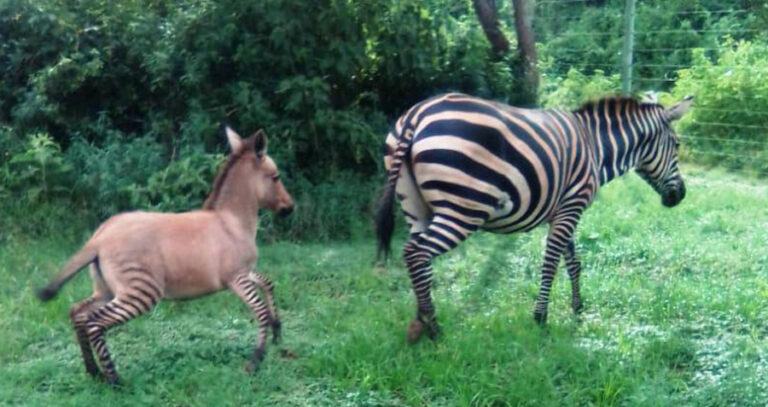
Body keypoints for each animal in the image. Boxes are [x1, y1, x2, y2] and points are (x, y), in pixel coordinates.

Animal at [375, 92, 693, 342]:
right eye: (677, 145)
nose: (680, 196)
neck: (596, 147)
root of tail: (417, 113)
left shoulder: (563, 210)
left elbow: (573, 262)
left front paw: (578, 309)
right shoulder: (571, 206)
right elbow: (551, 263)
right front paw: (541, 318)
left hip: (416, 208)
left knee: (418, 259)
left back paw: (420, 320)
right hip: (463, 209)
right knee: (416, 253)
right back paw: (433, 328)